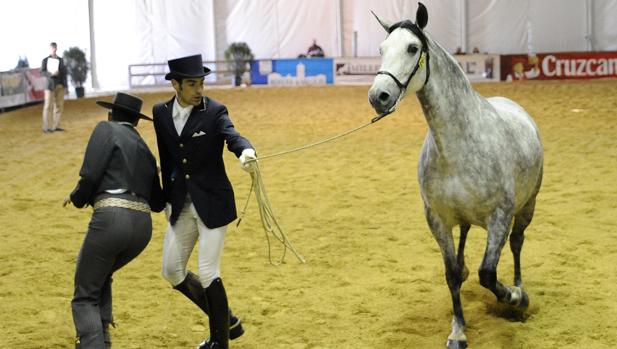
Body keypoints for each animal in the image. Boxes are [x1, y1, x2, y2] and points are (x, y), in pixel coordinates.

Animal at [368, 3, 540, 348]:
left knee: (517, 244)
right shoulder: (438, 219)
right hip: (463, 219)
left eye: (412, 48)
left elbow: (488, 273)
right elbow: (451, 273)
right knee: (464, 250)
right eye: (381, 49)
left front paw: (514, 297)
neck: (459, 144)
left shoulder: (499, 218)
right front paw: (458, 330)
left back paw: (519, 290)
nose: (378, 96)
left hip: (527, 207)